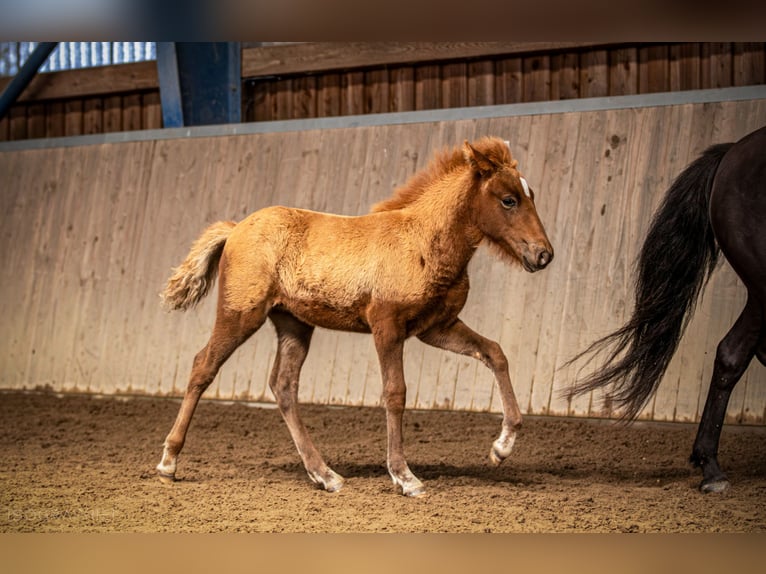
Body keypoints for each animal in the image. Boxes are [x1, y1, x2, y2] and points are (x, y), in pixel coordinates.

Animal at [156, 136, 554, 496]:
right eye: (509, 200)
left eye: (531, 194)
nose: (544, 254)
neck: (422, 240)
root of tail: (235, 228)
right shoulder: (386, 326)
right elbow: (395, 392)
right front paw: (404, 477)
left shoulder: (436, 327)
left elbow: (494, 353)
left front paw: (501, 448)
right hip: (240, 314)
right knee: (203, 366)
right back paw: (168, 463)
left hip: (293, 324)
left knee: (284, 386)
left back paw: (325, 475)